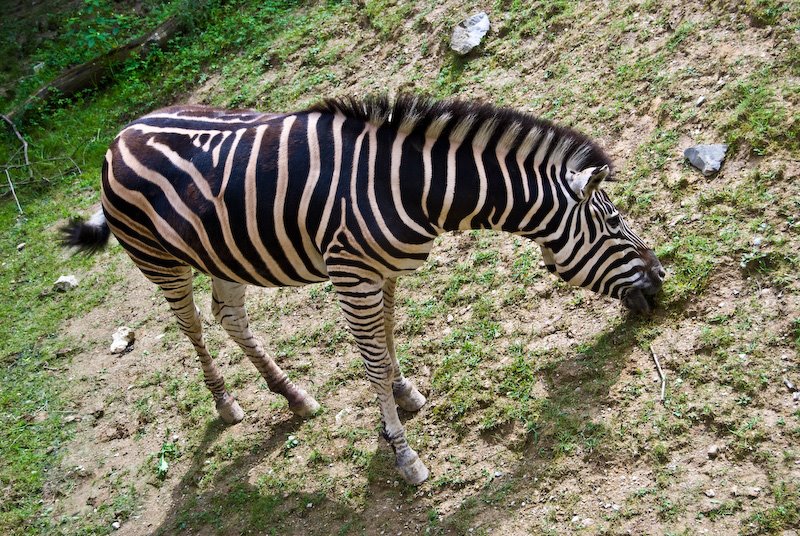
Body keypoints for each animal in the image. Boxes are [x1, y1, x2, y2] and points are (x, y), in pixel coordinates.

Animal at [61, 95, 664, 486]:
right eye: (614, 224)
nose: (662, 282)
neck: (417, 188)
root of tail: (119, 136)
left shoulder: (383, 271)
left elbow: (389, 339)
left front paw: (403, 392)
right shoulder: (353, 275)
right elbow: (371, 363)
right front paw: (404, 454)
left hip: (224, 252)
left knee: (228, 315)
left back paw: (292, 395)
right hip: (160, 260)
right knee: (190, 326)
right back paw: (227, 402)